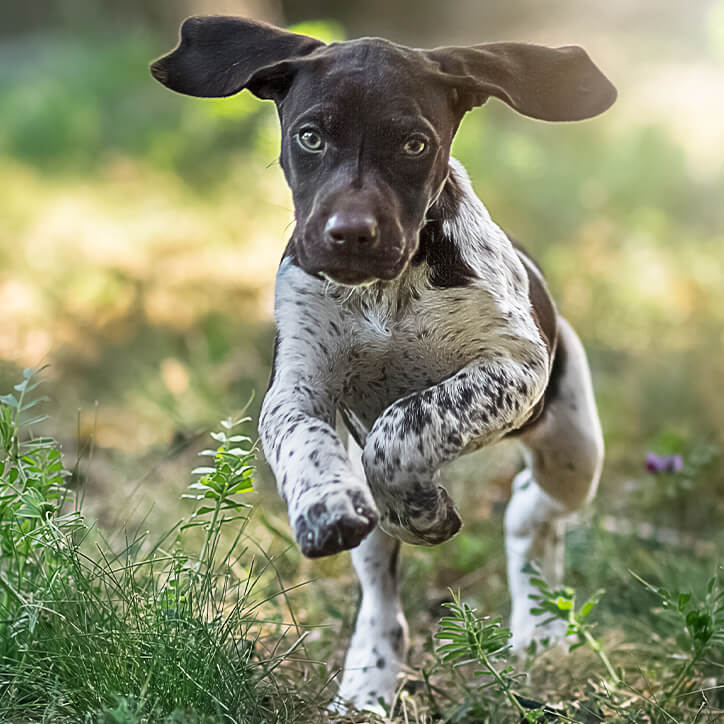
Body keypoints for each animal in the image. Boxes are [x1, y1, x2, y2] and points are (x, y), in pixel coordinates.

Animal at [153, 17, 616, 712]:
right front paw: (326, 506)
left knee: (529, 513)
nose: (350, 234)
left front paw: (420, 510)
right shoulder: (296, 387)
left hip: (572, 446)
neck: (384, 292)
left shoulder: (514, 365)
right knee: (381, 591)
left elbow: (405, 425)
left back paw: (540, 626)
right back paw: (367, 679)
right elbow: (307, 444)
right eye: (310, 136)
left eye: (413, 143)